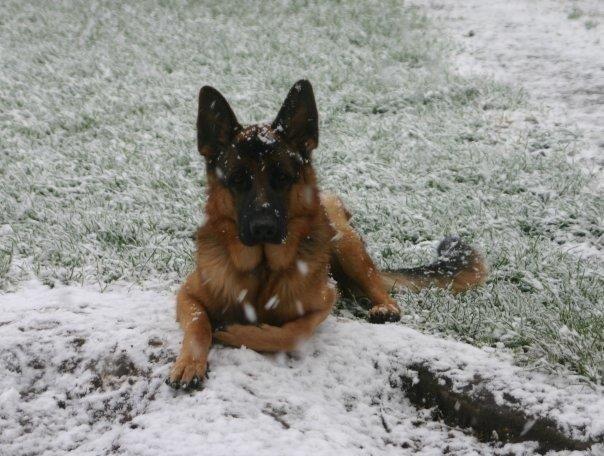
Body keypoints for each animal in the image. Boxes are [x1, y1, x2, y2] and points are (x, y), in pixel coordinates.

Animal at [168, 81, 488, 388]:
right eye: (237, 179)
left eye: (282, 177)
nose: (263, 227)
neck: (263, 270)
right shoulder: (188, 294)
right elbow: (198, 323)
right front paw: (189, 364)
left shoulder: (325, 300)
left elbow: (290, 333)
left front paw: (238, 332)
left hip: (345, 244)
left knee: (376, 285)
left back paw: (384, 307)